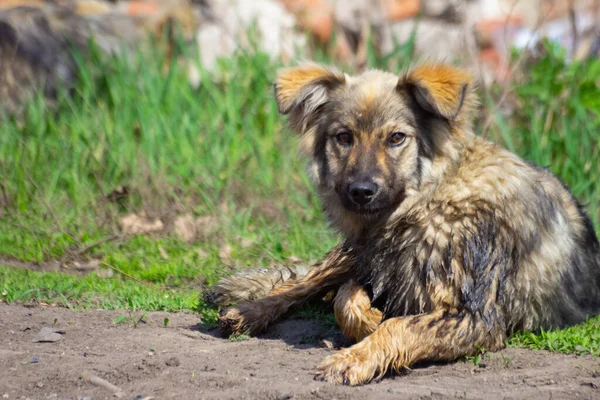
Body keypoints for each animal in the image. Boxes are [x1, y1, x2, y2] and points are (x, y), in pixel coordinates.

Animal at [216, 61, 600, 384]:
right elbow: (347, 299)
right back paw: (250, 310)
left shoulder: (476, 318)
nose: (361, 191)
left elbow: (398, 325)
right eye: (344, 138)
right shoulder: (375, 269)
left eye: (396, 138)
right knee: (302, 282)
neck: (426, 204)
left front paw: (355, 356)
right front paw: (370, 320)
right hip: (347, 254)